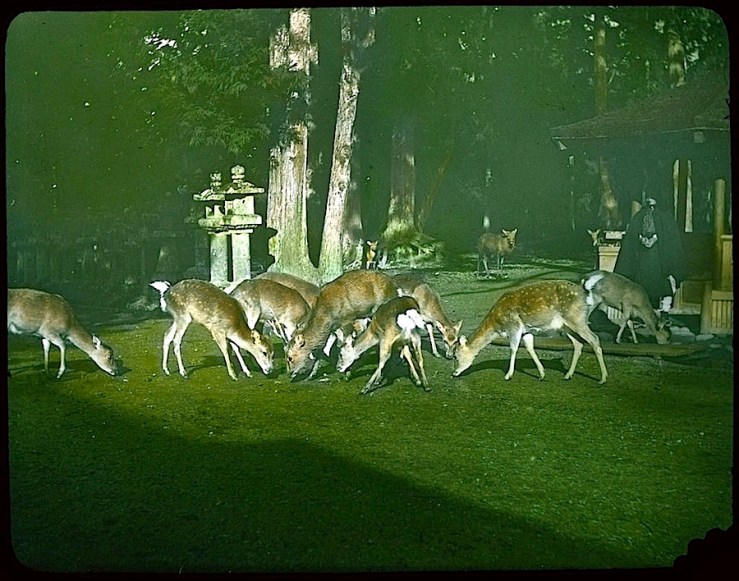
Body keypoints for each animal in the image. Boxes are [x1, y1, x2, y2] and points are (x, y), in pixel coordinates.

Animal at [452, 279, 608, 385]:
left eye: (456, 355)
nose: (454, 372)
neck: (496, 324)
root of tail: (585, 294)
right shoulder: (527, 331)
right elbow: (529, 347)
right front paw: (542, 374)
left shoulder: (514, 326)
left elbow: (513, 348)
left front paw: (508, 375)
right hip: (566, 325)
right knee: (578, 344)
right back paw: (568, 375)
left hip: (577, 318)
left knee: (594, 339)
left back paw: (603, 378)